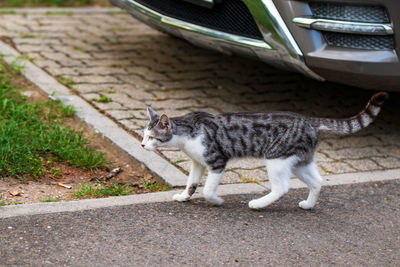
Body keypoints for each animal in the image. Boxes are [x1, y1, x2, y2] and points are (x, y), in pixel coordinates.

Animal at [140, 93, 388, 210]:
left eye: (151, 137)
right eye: (143, 135)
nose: (142, 145)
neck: (188, 132)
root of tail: (309, 121)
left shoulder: (218, 162)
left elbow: (208, 190)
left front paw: (217, 201)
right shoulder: (198, 163)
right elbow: (191, 184)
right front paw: (184, 196)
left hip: (276, 159)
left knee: (282, 188)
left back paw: (258, 204)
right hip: (300, 162)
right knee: (317, 182)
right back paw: (308, 205)